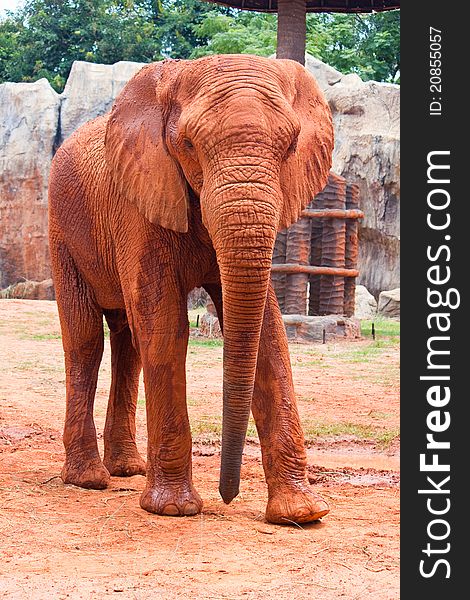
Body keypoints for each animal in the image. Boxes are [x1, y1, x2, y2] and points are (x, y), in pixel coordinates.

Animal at [48, 56, 334, 524]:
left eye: (291, 145)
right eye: (187, 144)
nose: (228, 496)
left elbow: (268, 334)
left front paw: (302, 514)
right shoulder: (140, 199)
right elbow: (165, 326)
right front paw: (174, 509)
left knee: (128, 342)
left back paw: (127, 470)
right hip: (63, 229)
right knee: (86, 339)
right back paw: (88, 479)